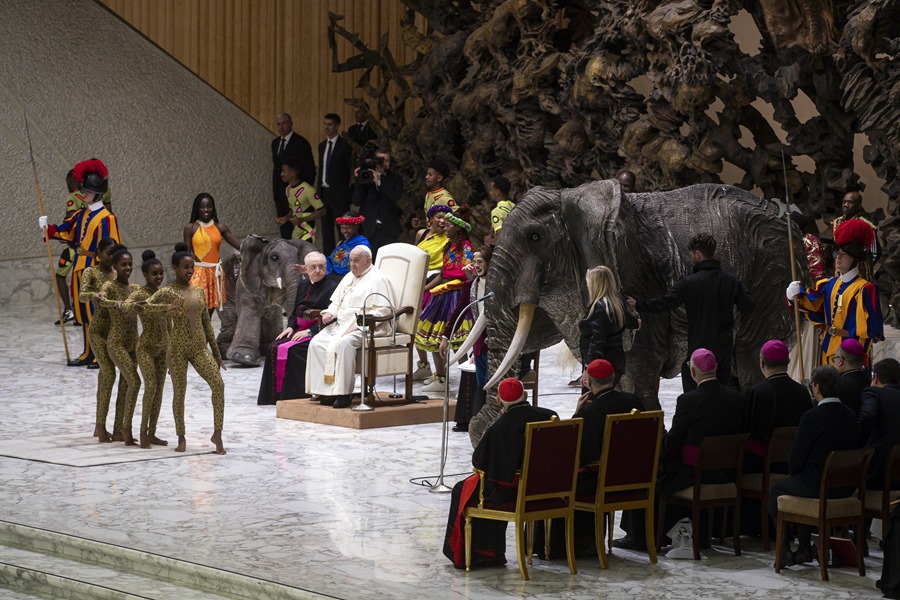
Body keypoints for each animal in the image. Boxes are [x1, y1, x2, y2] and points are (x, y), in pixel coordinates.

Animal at [216, 234, 318, 366]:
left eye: (298, 256)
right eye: (274, 258)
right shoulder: (246, 280)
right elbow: (250, 307)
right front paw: (243, 358)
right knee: (231, 322)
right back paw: (225, 352)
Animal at [472, 178, 808, 446]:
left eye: (535, 237)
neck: (572, 195)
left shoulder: (634, 271)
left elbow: (636, 373)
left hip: (771, 276)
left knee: (751, 361)